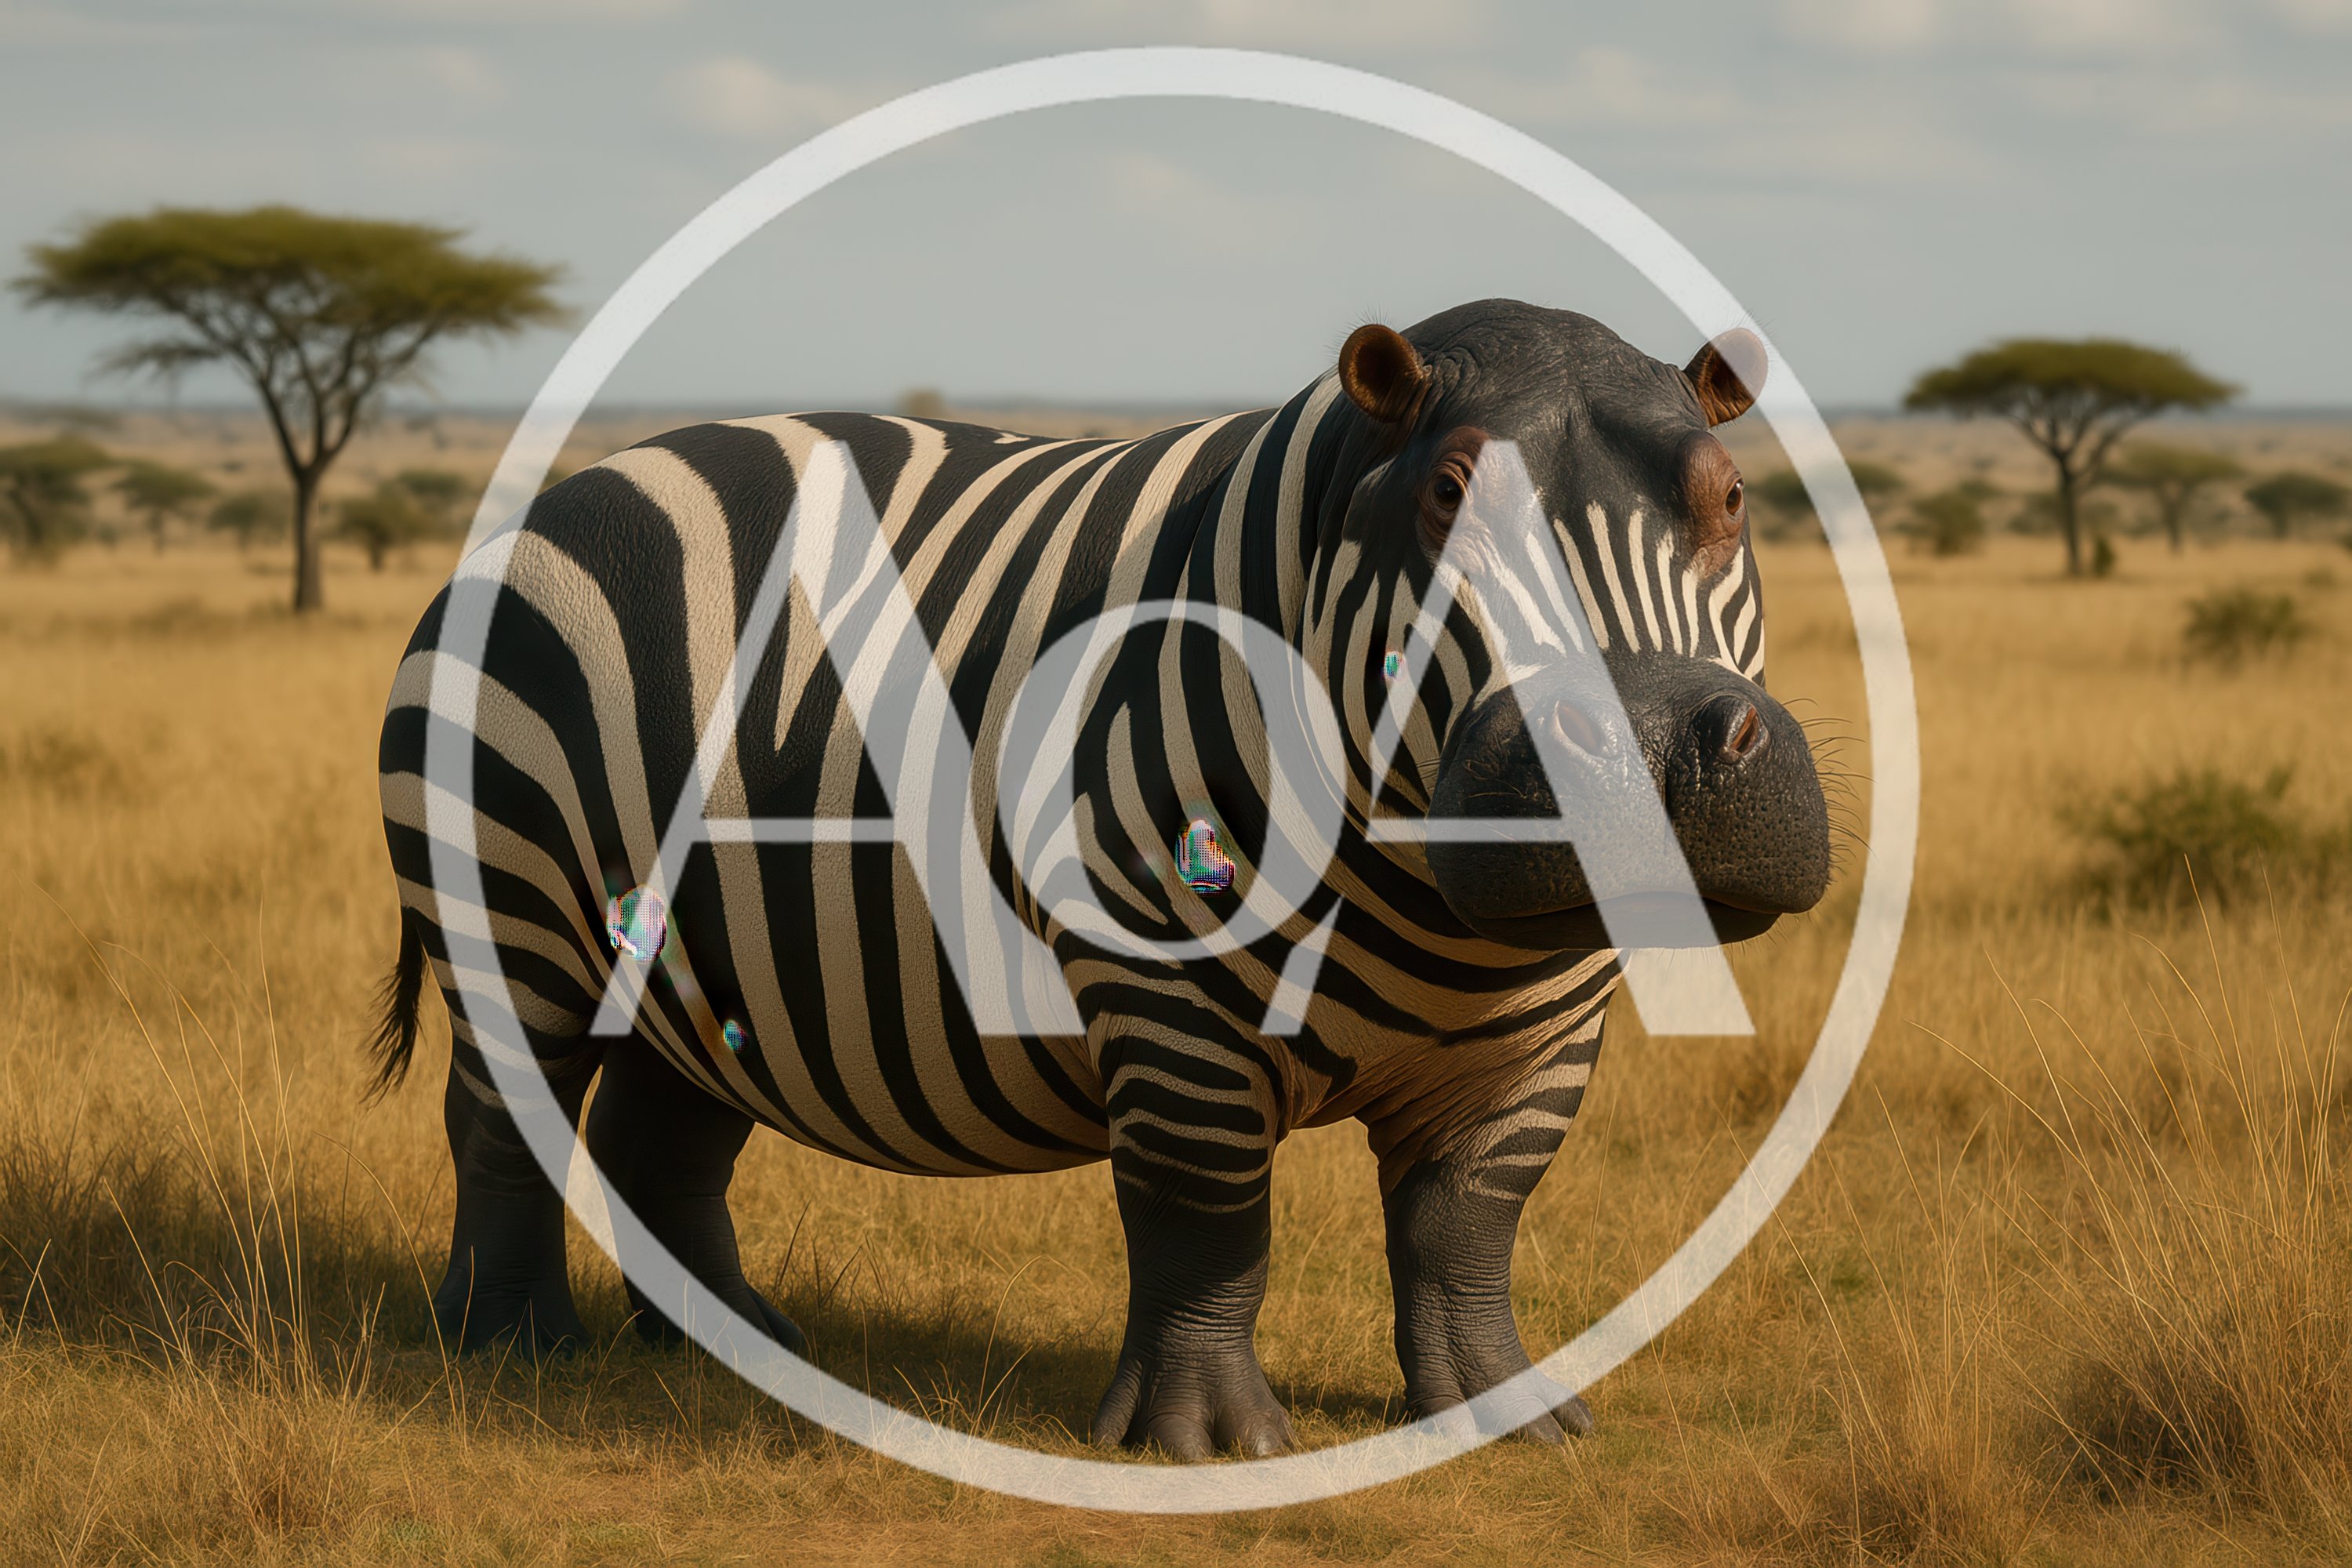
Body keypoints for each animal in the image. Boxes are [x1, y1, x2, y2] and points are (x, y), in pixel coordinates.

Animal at [372, 298, 1830, 1458]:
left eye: (1731, 501)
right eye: (1448, 498)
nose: (1652, 753)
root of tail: (564, 494)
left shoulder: (1538, 1033)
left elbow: (1466, 1229)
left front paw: (1505, 1418)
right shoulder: (1166, 994)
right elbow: (1205, 1216)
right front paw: (1205, 1444)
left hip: (705, 950)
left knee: (659, 1135)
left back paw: (740, 1347)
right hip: (515, 909)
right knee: (507, 1118)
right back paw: (511, 1345)